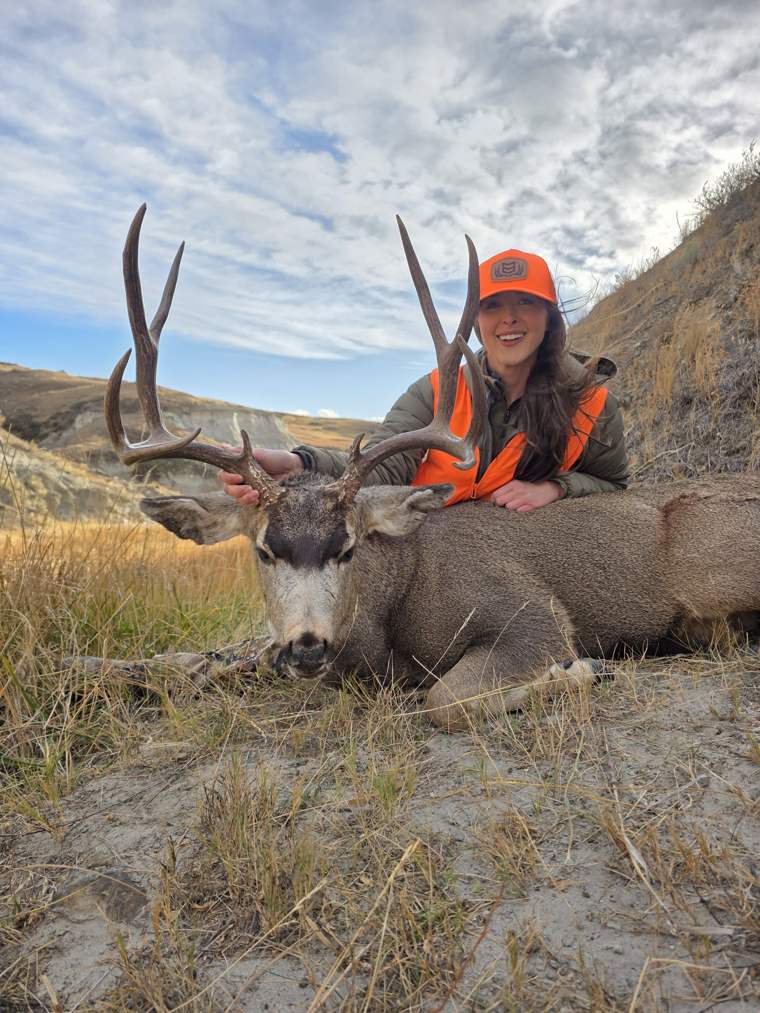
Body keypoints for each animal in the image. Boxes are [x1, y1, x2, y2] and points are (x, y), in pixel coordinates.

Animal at [106, 205, 760, 731]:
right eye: (265, 551)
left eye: (348, 548)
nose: (307, 647)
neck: (397, 605)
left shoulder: (531, 614)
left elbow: (445, 700)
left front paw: (581, 672)